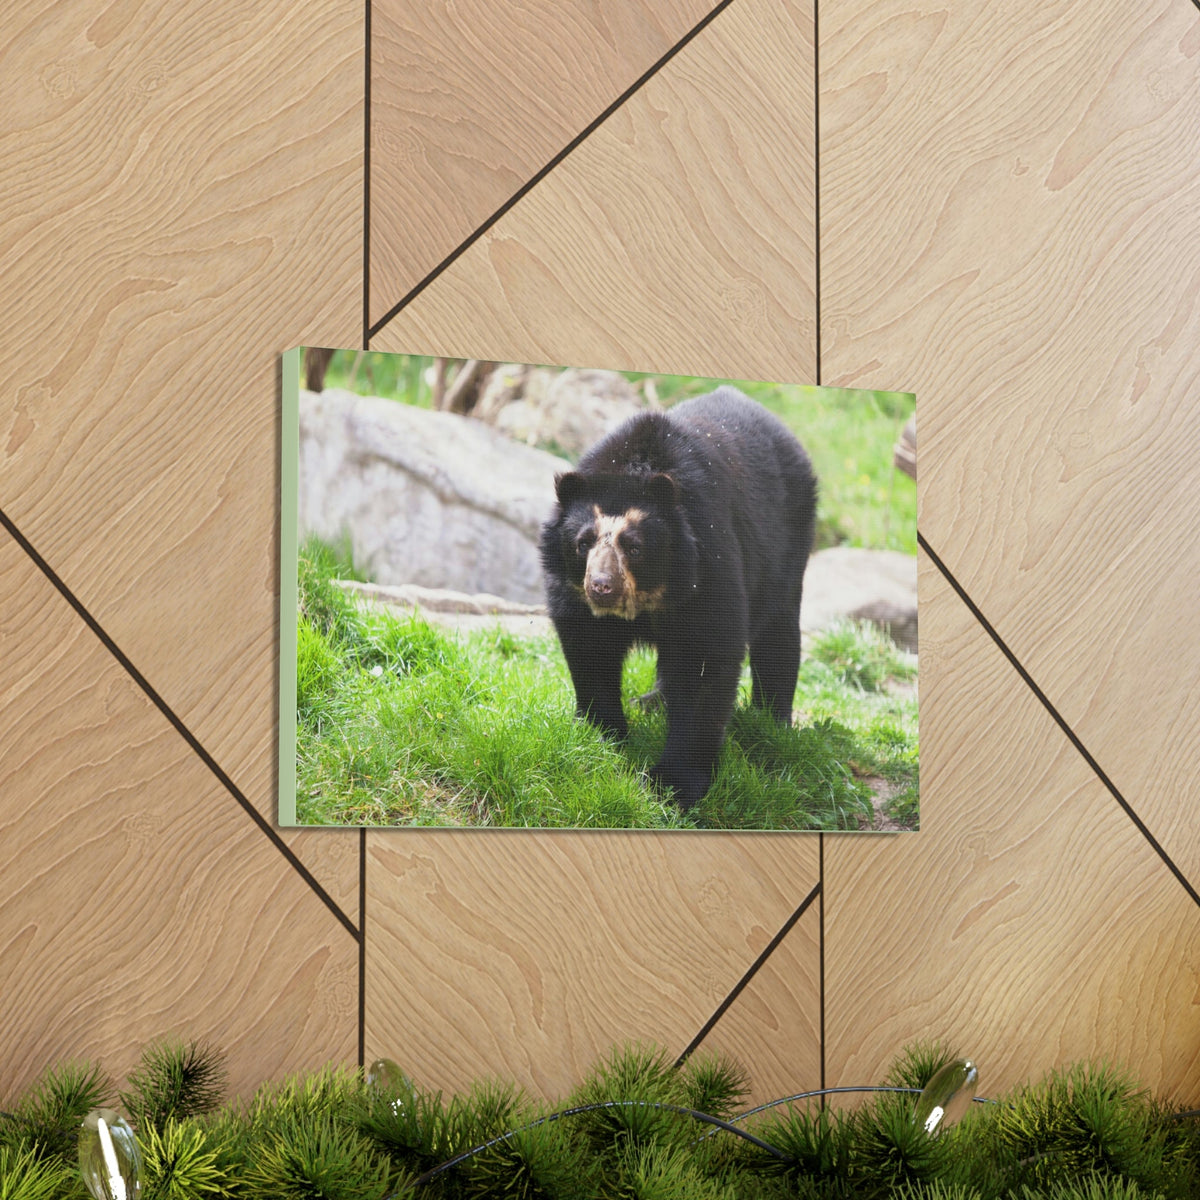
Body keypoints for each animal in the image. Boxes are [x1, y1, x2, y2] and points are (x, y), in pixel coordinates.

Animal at [539, 386, 817, 809]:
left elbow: (706, 657)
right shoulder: (573, 595)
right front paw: (601, 734)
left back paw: (771, 721)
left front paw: (673, 784)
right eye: (582, 543)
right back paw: (652, 701)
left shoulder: (707, 563)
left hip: (788, 541)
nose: (602, 586)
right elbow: (590, 649)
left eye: (634, 547)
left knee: (778, 632)